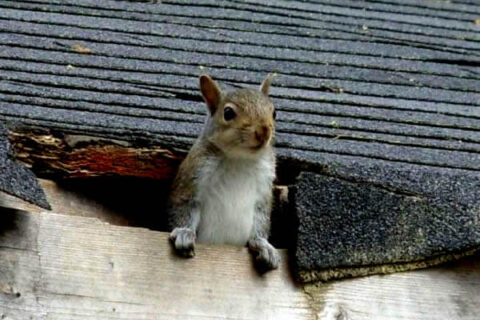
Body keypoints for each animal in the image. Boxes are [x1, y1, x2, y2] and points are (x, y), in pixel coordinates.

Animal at [169, 73, 282, 270]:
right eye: (228, 113)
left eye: (274, 112)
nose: (264, 131)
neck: (239, 158)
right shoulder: (194, 175)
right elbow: (184, 205)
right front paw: (184, 232)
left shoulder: (264, 184)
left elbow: (261, 216)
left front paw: (263, 245)